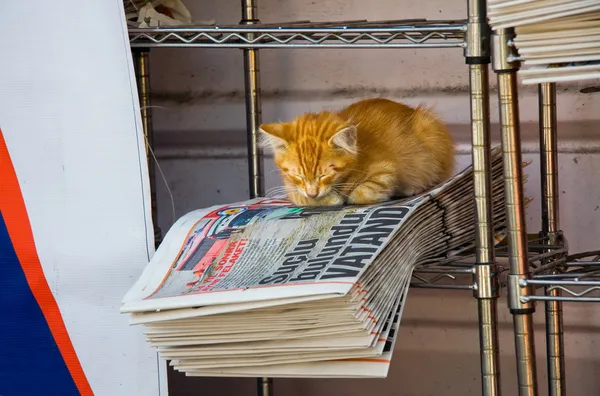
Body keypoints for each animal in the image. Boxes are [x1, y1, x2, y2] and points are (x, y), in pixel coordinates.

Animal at [258, 97, 454, 206]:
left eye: (324, 175)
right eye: (298, 175)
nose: (313, 192)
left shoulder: (385, 171)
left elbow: (360, 194)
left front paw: (341, 197)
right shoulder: (291, 187)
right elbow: (299, 197)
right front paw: (324, 198)